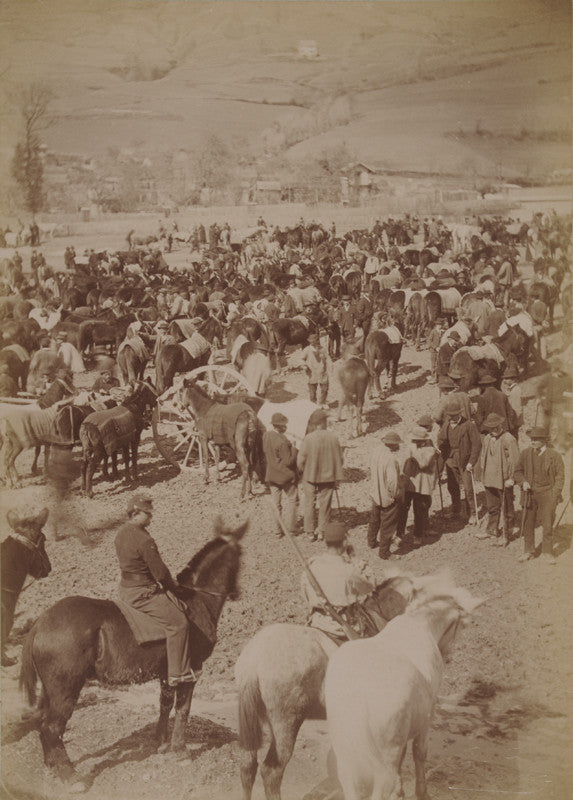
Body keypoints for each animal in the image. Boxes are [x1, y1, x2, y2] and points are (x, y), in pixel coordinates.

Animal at [19, 520, 247, 788]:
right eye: (240, 555)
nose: (237, 592)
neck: (194, 602)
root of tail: (40, 622)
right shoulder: (191, 670)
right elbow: (183, 708)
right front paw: (179, 749)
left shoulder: (166, 673)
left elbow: (165, 704)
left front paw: (161, 742)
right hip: (66, 690)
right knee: (52, 727)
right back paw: (71, 775)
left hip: (50, 690)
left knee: (43, 723)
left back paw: (52, 765)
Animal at [324, 572, 480, 800]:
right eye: (459, 626)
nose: (448, 656)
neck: (419, 622)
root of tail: (358, 693)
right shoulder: (425, 719)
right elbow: (419, 753)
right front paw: (421, 792)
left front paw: (400, 791)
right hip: (383, 760)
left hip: (347, 755)